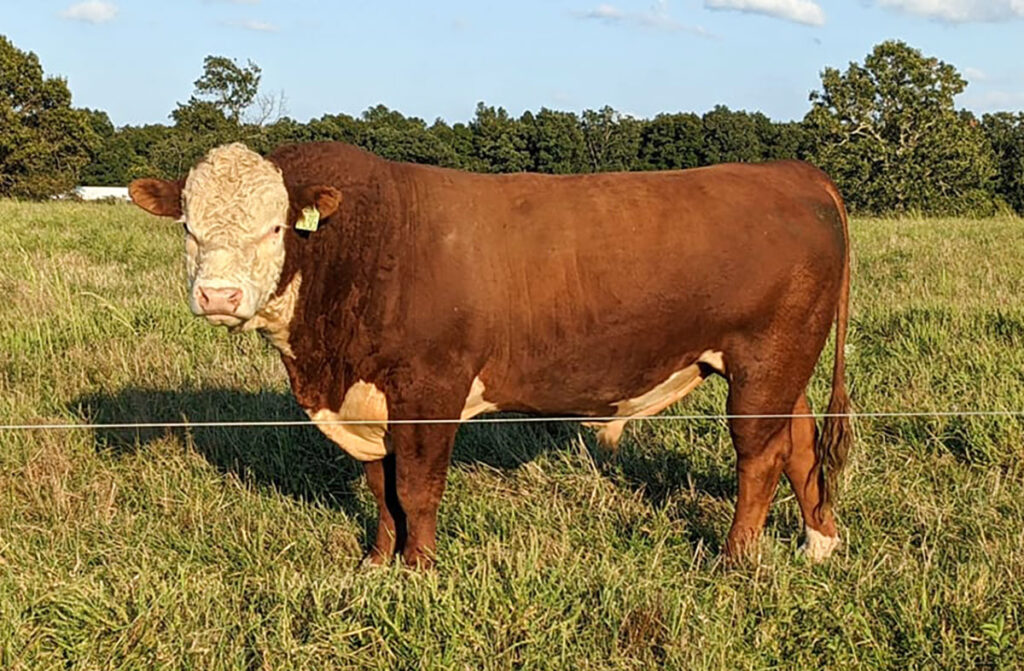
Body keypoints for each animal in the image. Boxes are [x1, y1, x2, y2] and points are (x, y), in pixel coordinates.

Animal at [128, 141, 851, 565]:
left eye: (275, 227)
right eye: (188, 226)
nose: (219, 295)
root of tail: (792, 170)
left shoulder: (431, 389)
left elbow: (415, 488)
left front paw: (418, 570)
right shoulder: (370, 400)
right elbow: (380, 488)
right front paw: (376, 564)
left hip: (764, 361)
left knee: (759, 456)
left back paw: (735, 560)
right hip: (787, 365)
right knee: (800, 444)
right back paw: (819, 543)